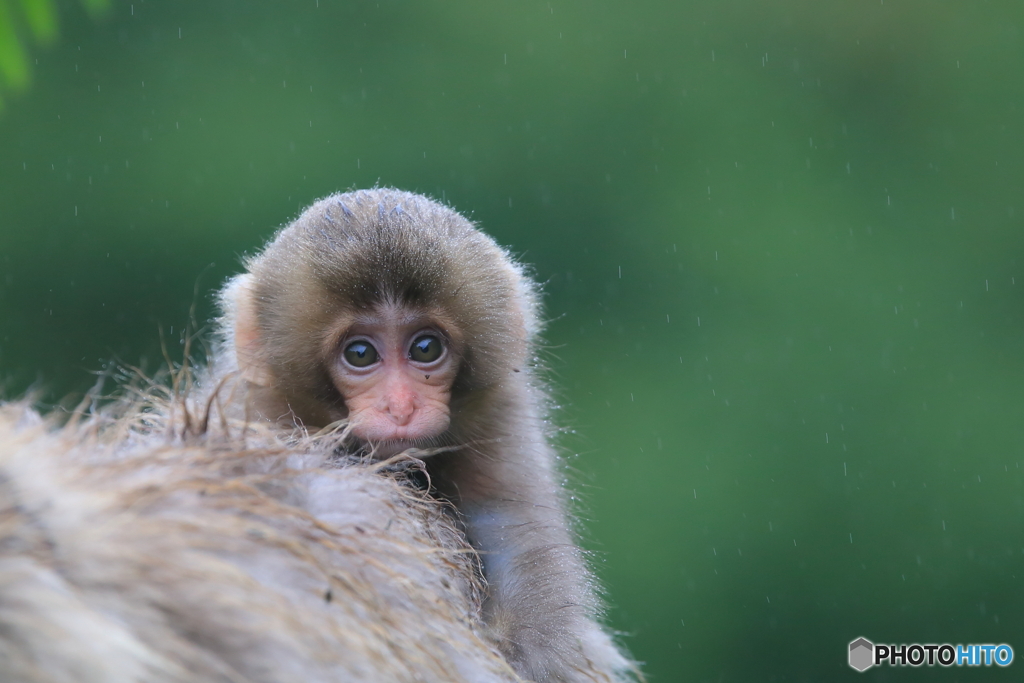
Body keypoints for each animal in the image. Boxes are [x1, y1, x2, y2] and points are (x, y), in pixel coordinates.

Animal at [218, 188, 630, 683]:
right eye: (360, 354)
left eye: (426, 348)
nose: (402, 407)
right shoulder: (255, 411)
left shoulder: (500, 416)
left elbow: (514, 535)